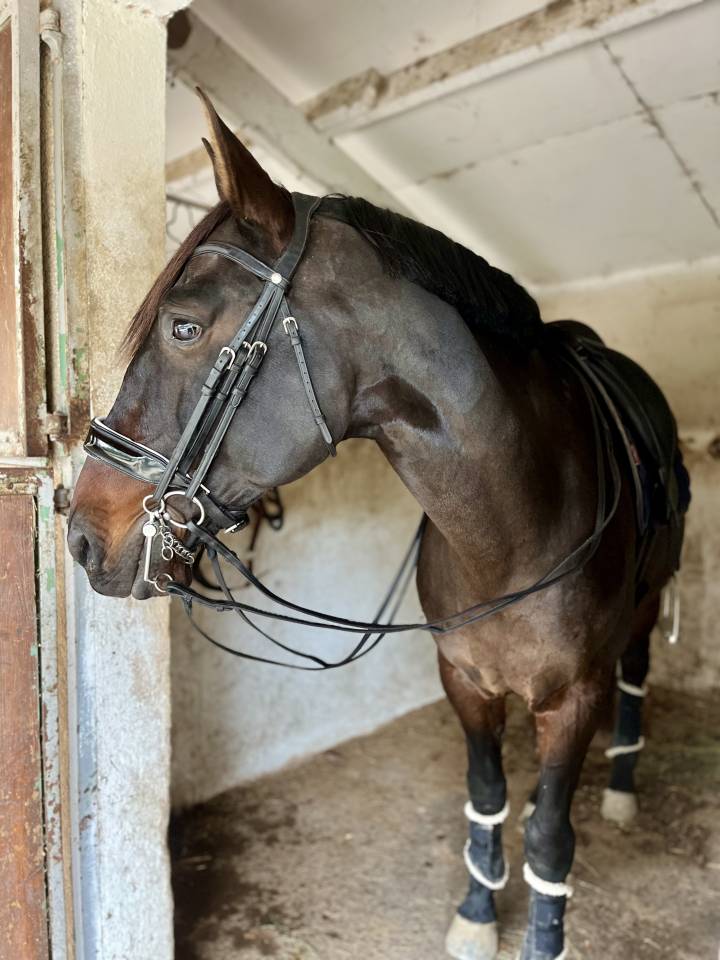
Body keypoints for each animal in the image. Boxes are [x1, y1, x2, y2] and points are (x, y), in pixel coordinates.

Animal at [68, 91, 688, 960]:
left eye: (183, 327)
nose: (82, 532)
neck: (515, 531)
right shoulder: (464, 680)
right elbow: (487, 794)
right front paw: (475, 914)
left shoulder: (575, 697)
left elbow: (549, 841)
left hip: (644, 610)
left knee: (636, 680)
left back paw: (626, 788)